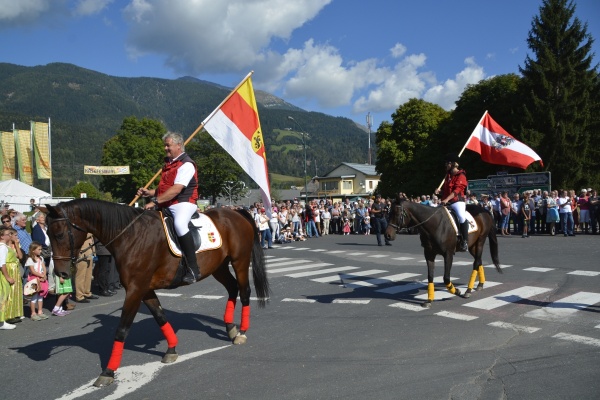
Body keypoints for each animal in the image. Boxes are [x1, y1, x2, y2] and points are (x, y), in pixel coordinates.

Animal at [45, 200, 270, 388]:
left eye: (59, 234)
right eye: (48, 234)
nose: (61, 273)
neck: (130, 235)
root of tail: (236, 212)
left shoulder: (135, 290)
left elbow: (122, 329)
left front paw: (108, 371)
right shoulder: (144, 289)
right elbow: (160, 316)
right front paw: (171, 349)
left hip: (240, 261)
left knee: (244, 291)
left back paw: (241, 332)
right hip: (219, 267)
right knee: (232, 289)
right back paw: (230, 328)